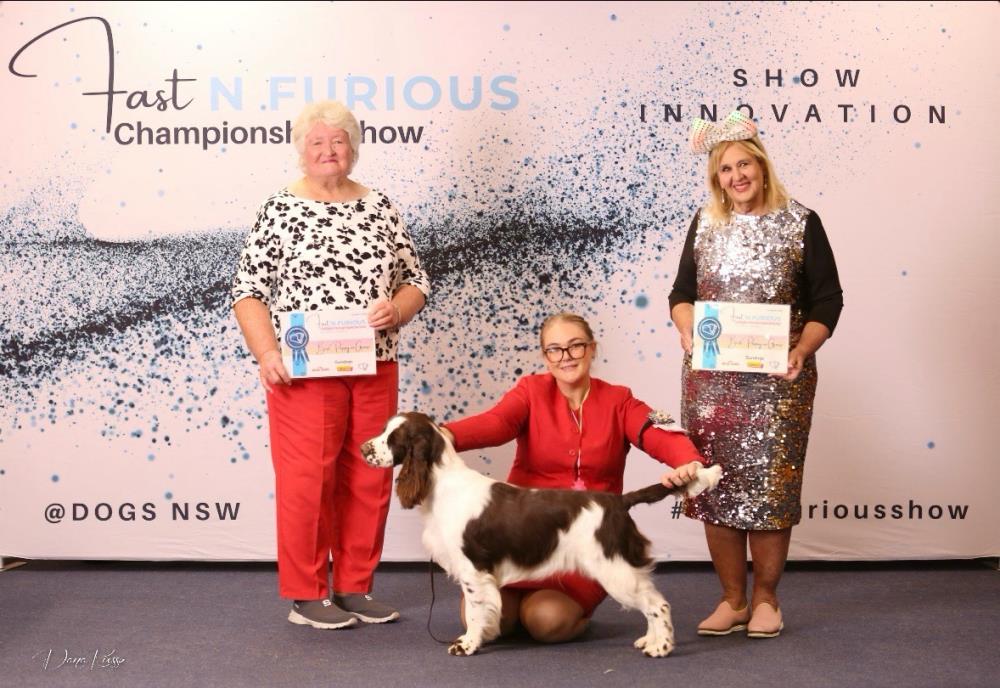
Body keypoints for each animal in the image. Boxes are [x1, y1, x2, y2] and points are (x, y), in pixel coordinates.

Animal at [360, 412, 722, 657]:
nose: (363, 448)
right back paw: (650, 640)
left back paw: (661, 647)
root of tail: (618, 501)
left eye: (394, 437)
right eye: (384, 430)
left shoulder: (474, 570)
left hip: (613, 570)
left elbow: (475, 612)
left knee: (658, 604)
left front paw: (467, 645)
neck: (442, 485)